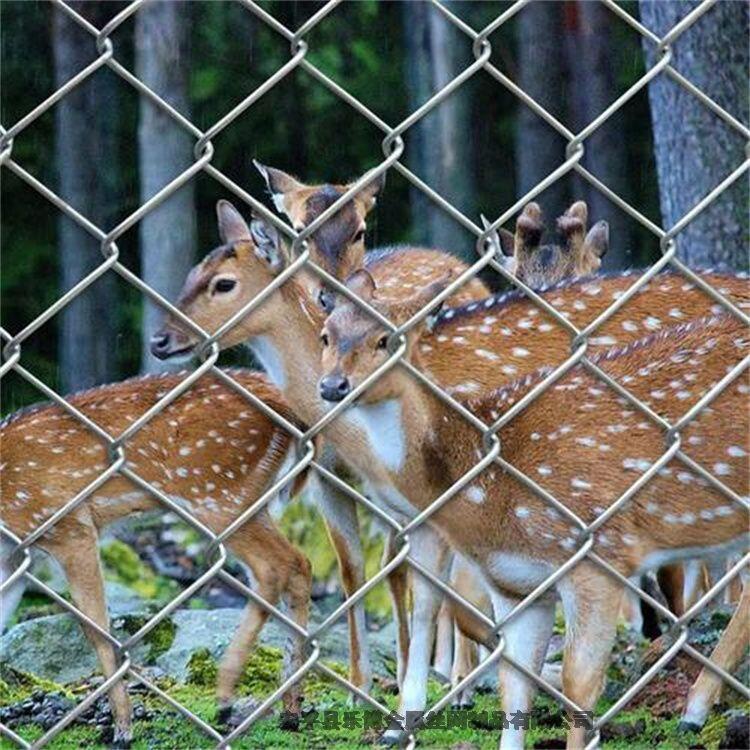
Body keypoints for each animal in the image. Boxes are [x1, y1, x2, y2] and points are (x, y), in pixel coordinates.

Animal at [0, 374, 312, 748]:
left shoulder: (67, 525)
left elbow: (96, 629)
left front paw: (123, 727)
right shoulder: (12, 557)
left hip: (219, 493)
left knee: (274, 567)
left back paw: (226, 697)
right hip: (247, 500)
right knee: (298, 565)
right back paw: (290, 708)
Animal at [320, 278, 748, 750]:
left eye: (386, 340)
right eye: (326, 334)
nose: (332, 385)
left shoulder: (600, 553)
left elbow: (579, 685)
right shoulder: (514, 584)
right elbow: (514, 686)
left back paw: (694, 711)